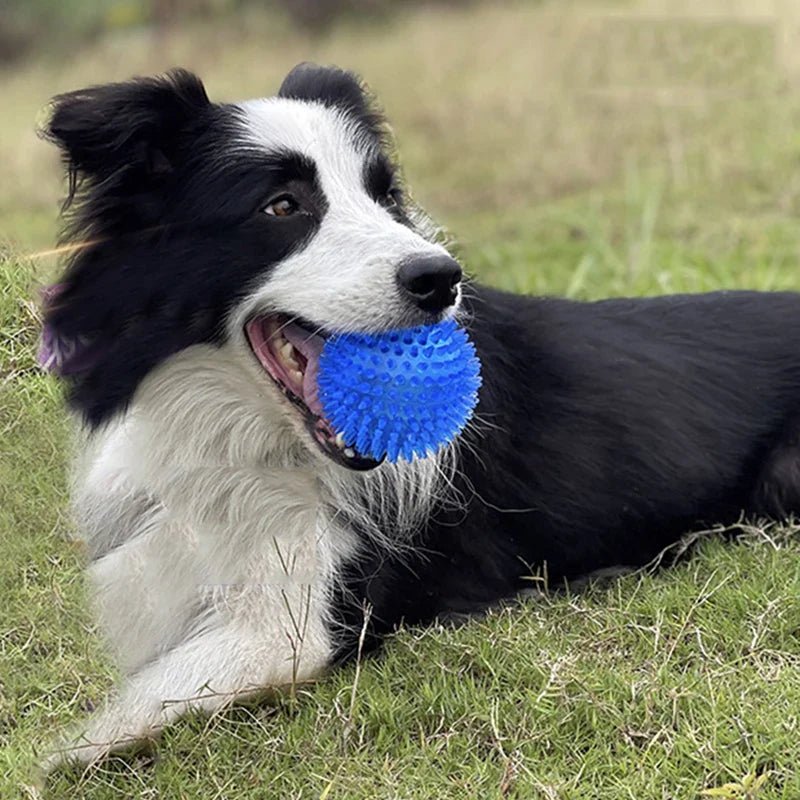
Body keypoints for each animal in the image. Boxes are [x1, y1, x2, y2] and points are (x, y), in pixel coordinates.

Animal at [40, 61, 800, 764]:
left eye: (384, 198)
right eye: (282, 206)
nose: (440, 280)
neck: (246, 442)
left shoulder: (288, 630)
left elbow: (90, 729)